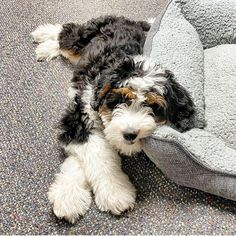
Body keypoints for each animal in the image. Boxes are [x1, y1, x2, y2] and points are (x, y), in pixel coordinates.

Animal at [31, 16, 195, 223]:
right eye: (120, 99)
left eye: (153, 107)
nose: (130, 134)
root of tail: (126, 20)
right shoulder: (81, 116)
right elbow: (99, 155)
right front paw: (114, 192)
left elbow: (81, 158)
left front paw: (70, 196)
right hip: (83, 36)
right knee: (67, 32)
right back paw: (44, 38)